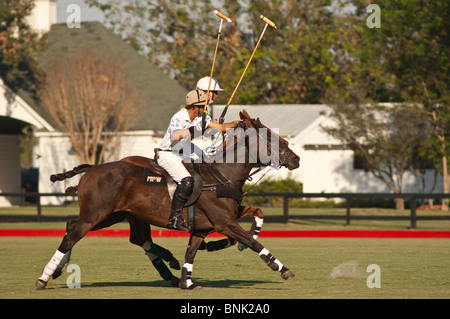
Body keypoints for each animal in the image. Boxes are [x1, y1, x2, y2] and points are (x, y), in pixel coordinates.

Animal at [37, 110, 300, 290]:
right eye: (270, 136)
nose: (296, 158)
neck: (222, 174)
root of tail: (91, 168)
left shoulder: (207, 226)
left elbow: (196, 251)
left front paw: (188, 280)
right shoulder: (224, 222)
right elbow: (252, 242)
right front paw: (282, 269)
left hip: (111, 215)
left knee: (75, 226)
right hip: (96, 215)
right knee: (72, 236)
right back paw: (44, 277)